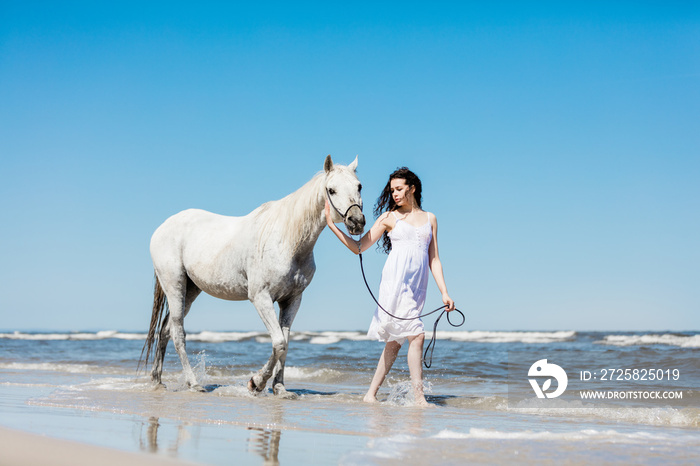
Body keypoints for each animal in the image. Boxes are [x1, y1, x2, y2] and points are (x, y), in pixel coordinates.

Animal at [139, 157, 364, 396]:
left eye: (359, 186)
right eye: (331, 190)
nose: (357, 221)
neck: (287, 240)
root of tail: (163, 227)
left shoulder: (292, 300)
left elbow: (285, 344)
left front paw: (280, 388)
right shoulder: (261, 298)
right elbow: (278, 342)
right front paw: (257, 382)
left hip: (191, 290)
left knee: (165, 331)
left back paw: (157, 380)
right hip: (175, 285)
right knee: (178, 334)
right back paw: (194, 383)